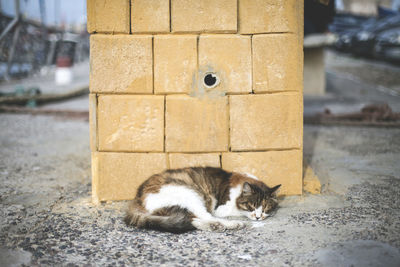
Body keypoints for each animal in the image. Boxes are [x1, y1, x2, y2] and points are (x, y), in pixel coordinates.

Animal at [125, 168, 282, 234]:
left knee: (190, 218)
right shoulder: (222, 208)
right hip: (191, 194)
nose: (258, 217)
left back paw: (214, 226)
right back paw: (232, 224)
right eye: (251, 206)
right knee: (204, 216)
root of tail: (137, 198)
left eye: (266, 207)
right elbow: (237, 212)